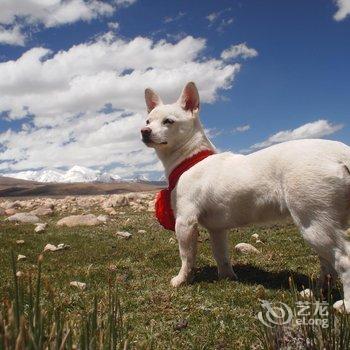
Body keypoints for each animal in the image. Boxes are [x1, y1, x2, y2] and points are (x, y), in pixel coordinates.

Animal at [142, 81, 350, 312]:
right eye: (148, 121)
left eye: (168, 121)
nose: (144, 131)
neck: (190, 159)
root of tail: (342, 152)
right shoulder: (217, 229)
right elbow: (221, 255)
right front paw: (227, 277)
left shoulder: (185, 222)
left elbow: (186, 257)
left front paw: (181, 280)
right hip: (320, 226)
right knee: (327, 264)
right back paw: (315, 292)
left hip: (315, 225)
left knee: (343, 260)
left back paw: (345, 305)